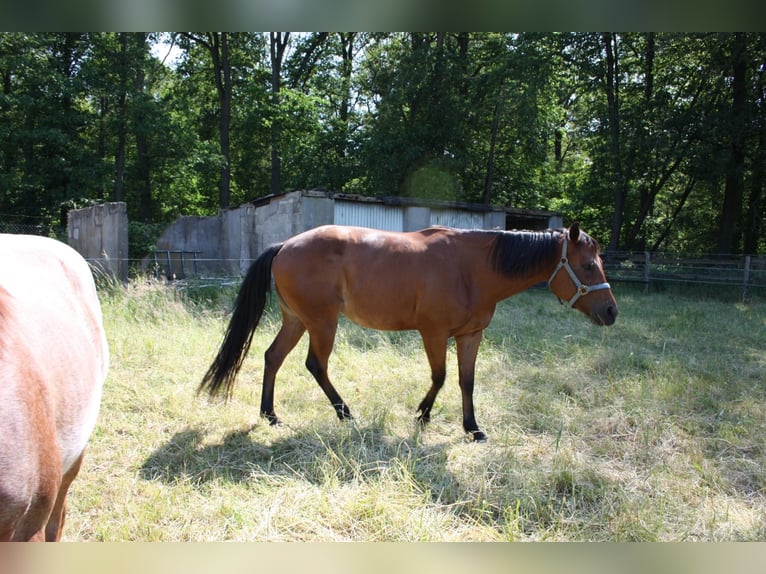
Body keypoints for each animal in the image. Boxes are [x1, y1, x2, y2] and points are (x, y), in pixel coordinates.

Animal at [202, 224, 616, 440]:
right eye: (587, 265)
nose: (611, 312)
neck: (471, 268)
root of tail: (285, 244)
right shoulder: (433, 333)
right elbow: (440, 376)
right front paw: (423, 414)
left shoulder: (471, 336)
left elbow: (466, 381)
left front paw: (472, 428)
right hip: (322, 323)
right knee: (315, 365)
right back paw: (345, 414)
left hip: (296, 320)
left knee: (273, 357)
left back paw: (270, 414)